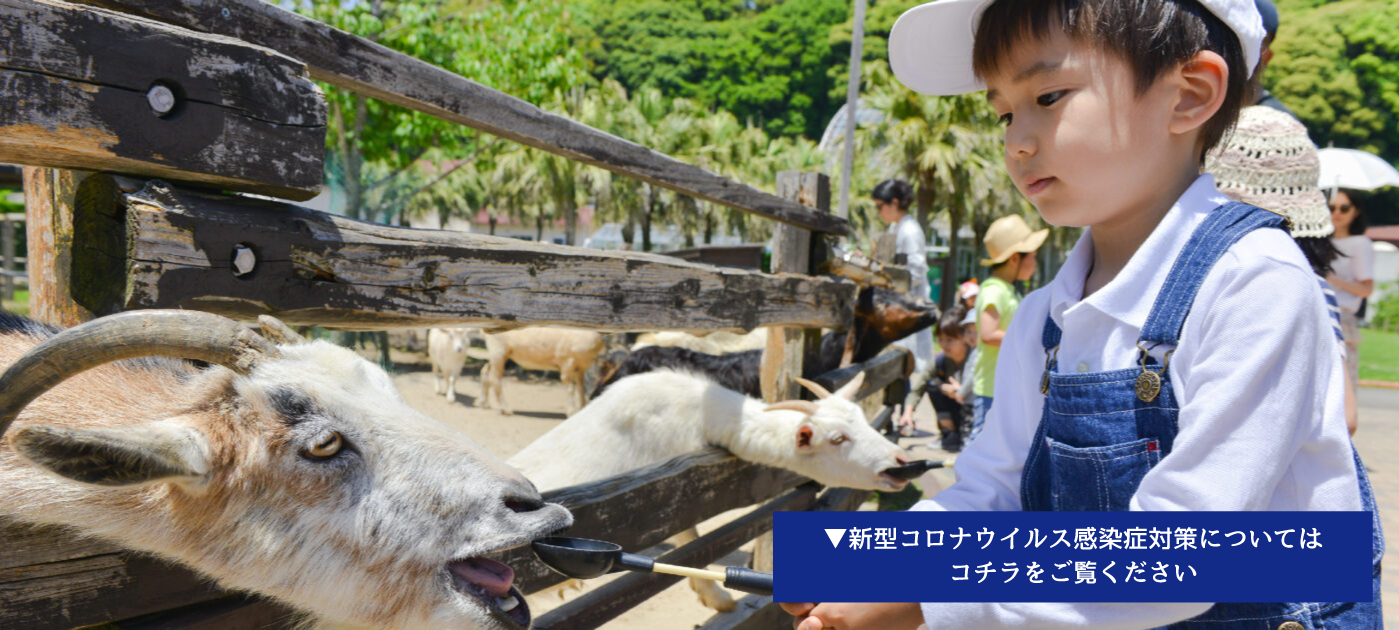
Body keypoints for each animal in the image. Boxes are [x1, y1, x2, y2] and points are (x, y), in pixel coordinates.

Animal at [506, 369, 906, 610]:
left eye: (861, 418)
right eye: (837, 438)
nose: (900, 463)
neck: (698, 410)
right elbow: (689, 539)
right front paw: (717, 597)